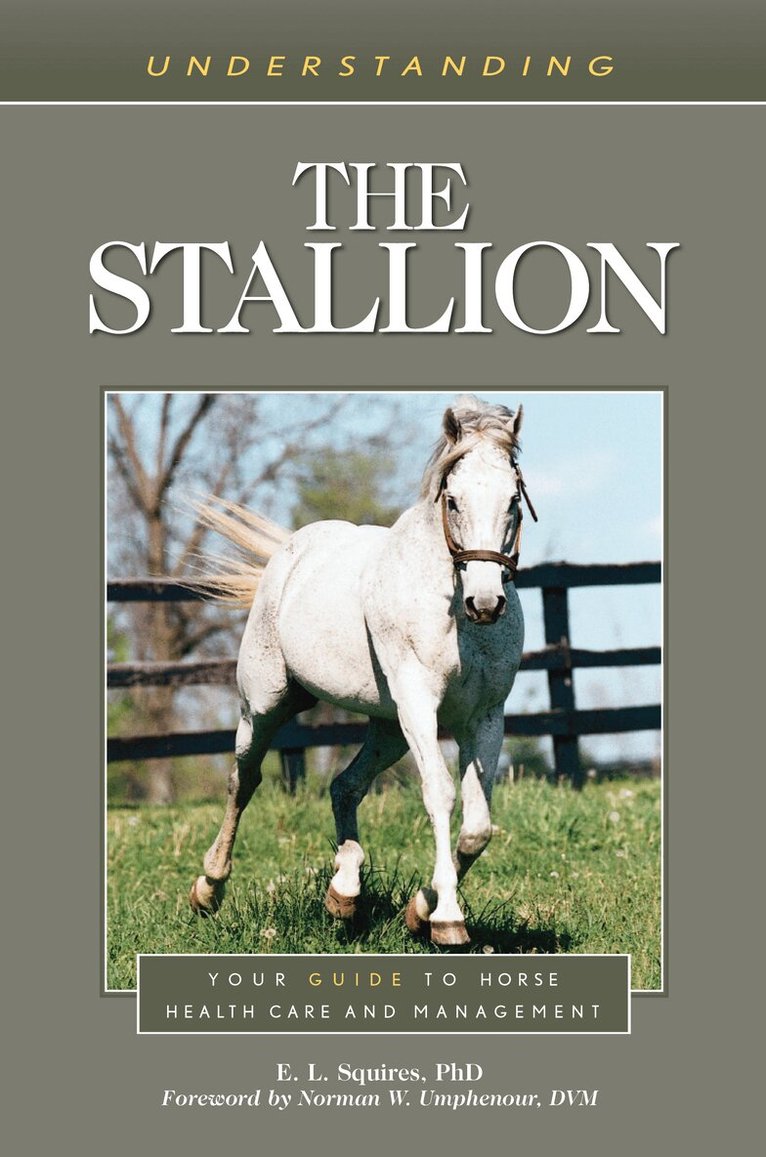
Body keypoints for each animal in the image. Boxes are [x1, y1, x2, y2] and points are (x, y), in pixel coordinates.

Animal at [190, 395, 537, 946]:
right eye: (453, 501)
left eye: (513, 501)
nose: (486, 603)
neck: (453, 613)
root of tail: (291, 551)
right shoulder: (420, 705)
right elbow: (440, 795)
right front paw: (447, 920)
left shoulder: (485, 717)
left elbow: (478, 825)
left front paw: (420, 909)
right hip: (265, 706)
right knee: (243, 780)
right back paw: (208, 889)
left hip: (388, 729)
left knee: (344, 786)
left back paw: (345, 893)